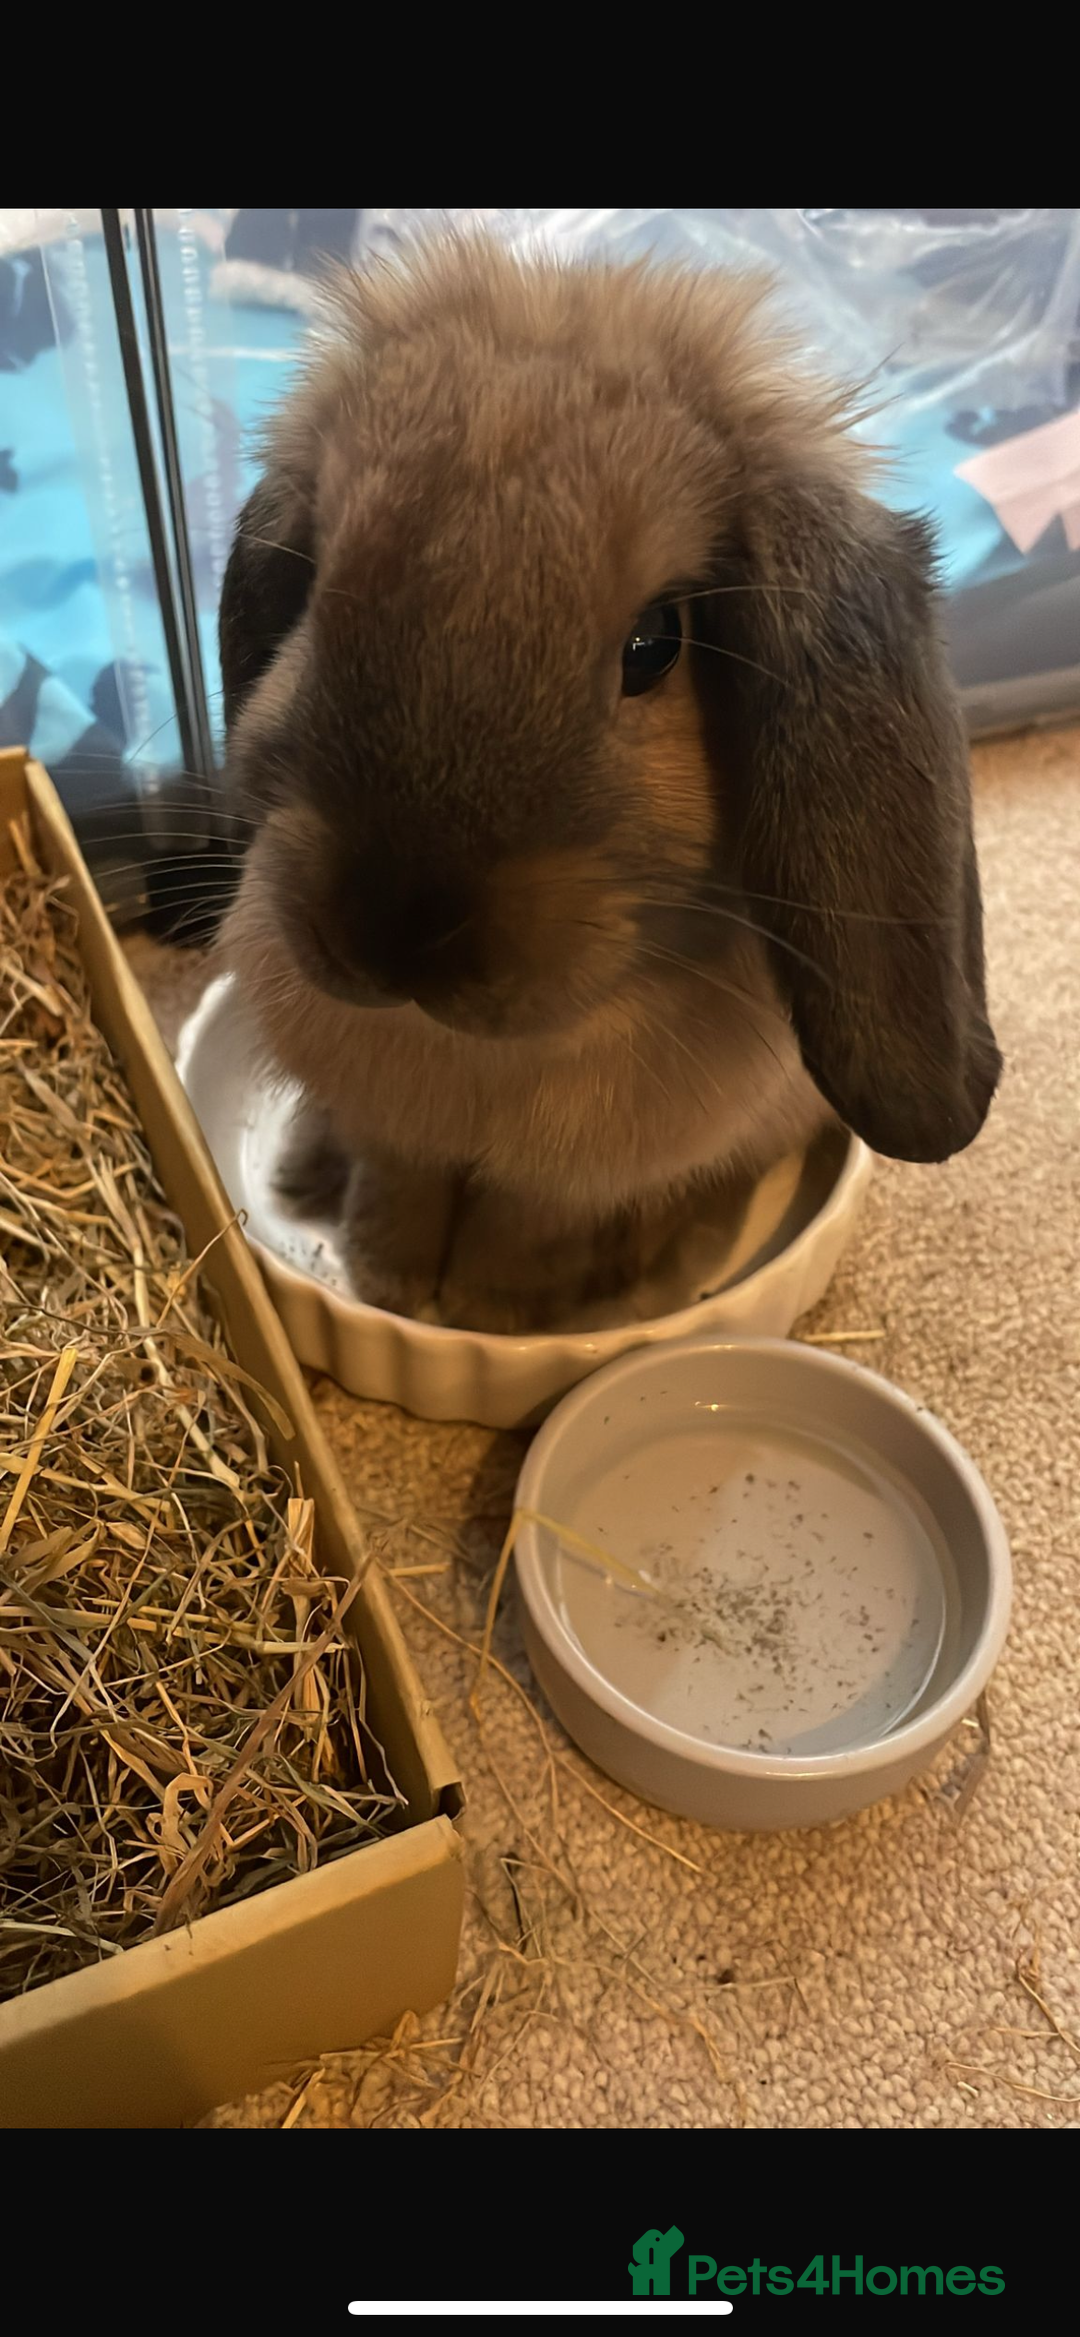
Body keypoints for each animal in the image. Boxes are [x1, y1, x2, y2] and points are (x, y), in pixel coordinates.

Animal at [218, 235, 1001, 1333]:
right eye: (317, 591)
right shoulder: (391, 1130)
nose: (391, 938)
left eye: (655, 644)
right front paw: (391, 1283)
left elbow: (523, 1225)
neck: (487, 1057)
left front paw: (492, 1313)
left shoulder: (575, 1176)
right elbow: (395, 1185)